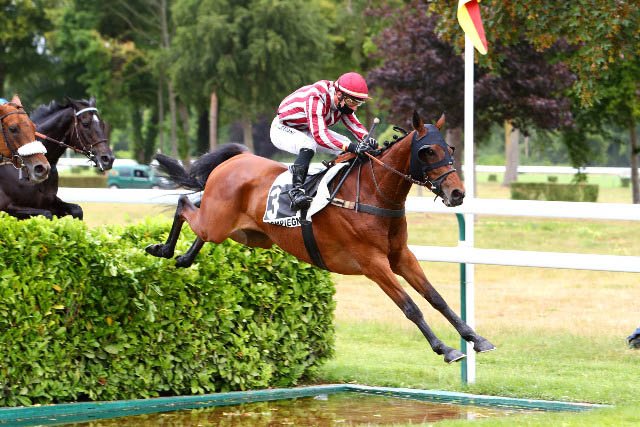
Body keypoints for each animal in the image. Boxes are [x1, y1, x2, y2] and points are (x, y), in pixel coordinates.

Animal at [146, 111, 496, 364]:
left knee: (198, 220)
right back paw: (162, 248)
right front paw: (446, 349)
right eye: (427, 151)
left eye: (450, 149)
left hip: (247, 234)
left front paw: (476, 338)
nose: (457, 193)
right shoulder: (373, 263)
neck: (373, 194)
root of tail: (237, 158)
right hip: (219, 223)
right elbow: (411, 307)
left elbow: (436, 298)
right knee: (184, 204)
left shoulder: (400, 256)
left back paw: (183, 256)